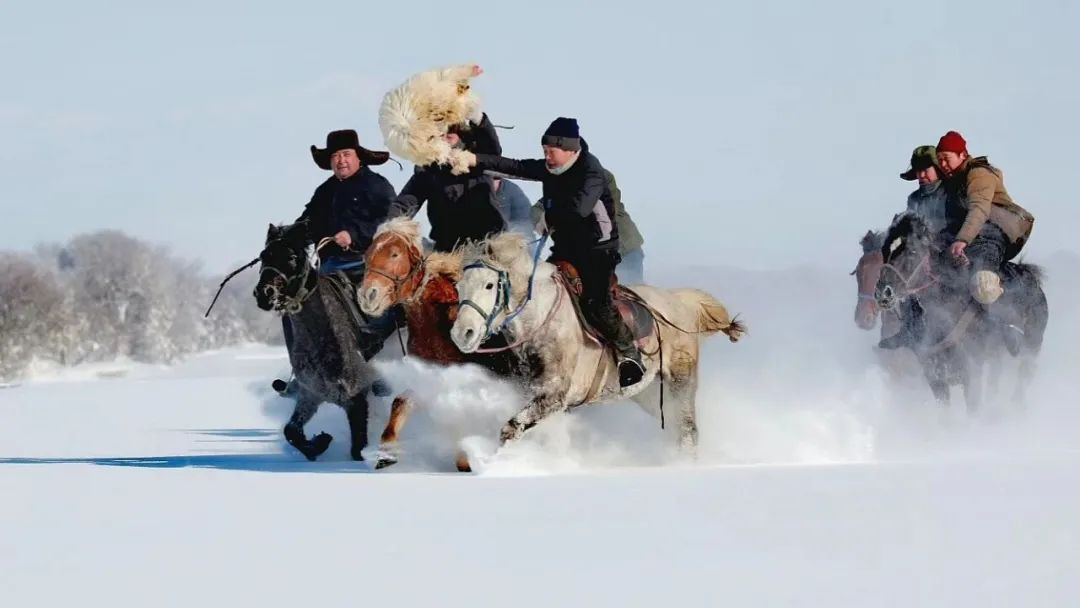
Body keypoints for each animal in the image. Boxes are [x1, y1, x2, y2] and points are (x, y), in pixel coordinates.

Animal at [252, 223, 388, 462]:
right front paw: (319, 443)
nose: (264, 293)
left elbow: (358, 448)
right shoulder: (311, 395)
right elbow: (291, 432)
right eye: (263, 256)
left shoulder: (357, 399)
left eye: (291, 257)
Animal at [447, 233, 743, 457]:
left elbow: (510, 429)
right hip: (647, 391)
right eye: (459, 286)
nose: (463, 334)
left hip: (680, 381)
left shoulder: (554, 396)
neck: (540, 319)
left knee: (688, 431)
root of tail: (678, 301)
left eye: (489, 285)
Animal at [876, 211, 1045, 412]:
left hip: (1032, 344)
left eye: (912, 252)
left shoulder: (973, 373)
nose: (883, 293)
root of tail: (1033, 279)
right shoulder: (936, 378)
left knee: (1024, 375)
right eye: (884, 251)